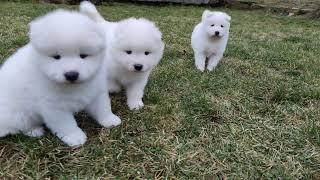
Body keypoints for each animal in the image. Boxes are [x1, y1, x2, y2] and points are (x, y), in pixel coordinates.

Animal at [0, 9, 121, 146]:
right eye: (56, 57)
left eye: (83, 55)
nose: (71, 74)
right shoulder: (54, 107)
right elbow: (65, 124)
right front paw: (74, 137)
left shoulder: (96, 91)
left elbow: (103, 107)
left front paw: (109, 120)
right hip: (19, 114)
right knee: (19, 126)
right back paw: (34, 131)